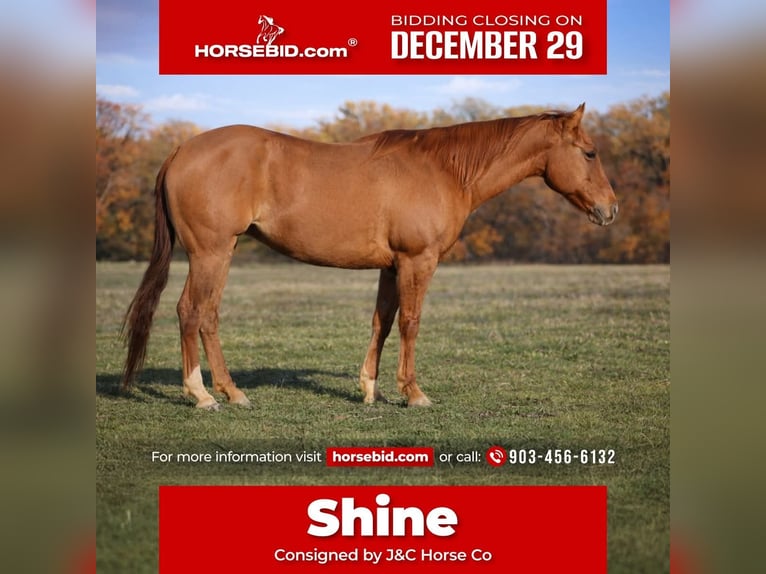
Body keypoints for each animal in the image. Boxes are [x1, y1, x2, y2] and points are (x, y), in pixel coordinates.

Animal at [121, 104, 617, 410]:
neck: (444, 170)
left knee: (207, 316)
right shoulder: (418, 261)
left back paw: (230, 392)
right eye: (590, 153)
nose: (610, 209)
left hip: (222, 252)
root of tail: (183, 149)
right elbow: (410, 323)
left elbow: (382, 321)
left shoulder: (391, 266)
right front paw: (413, 393)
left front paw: (370, 390)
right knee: (192, 311)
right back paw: (203, 395)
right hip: (211, 252)